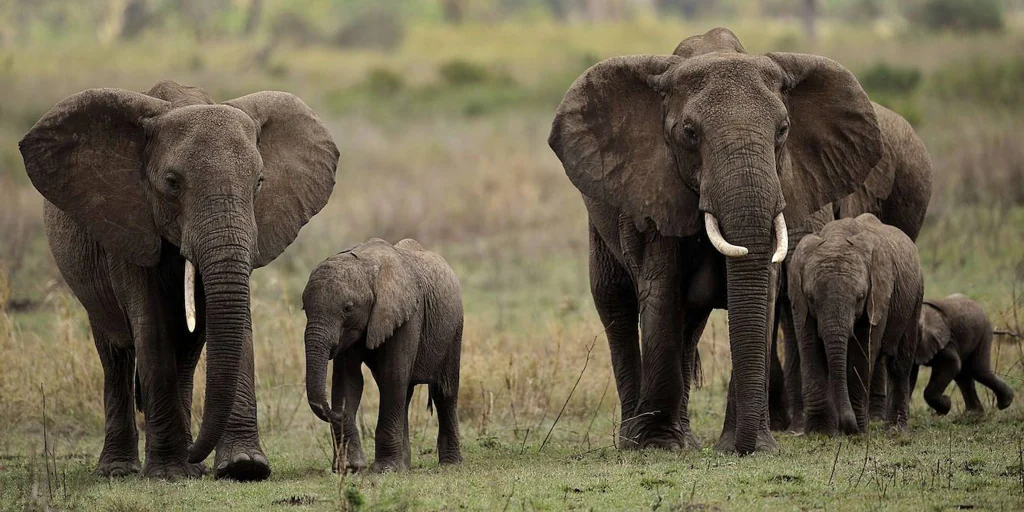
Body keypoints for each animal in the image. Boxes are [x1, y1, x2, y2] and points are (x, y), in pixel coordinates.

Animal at [19, 80, 339, 479]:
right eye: (172, 183)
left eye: (259, 183)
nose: (195, 457)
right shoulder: (130, 224)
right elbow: (152, 327)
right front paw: (169, 473)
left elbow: (235, 320)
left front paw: (244, 467)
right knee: (115, 353)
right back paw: (121, 469)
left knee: (186, 353)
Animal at [299, 237, 464, 473]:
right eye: (304, 308)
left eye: (348, 308)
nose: (338, 413)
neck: (366, 265)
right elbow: (348, 380)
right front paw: (351, 468)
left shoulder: (408, 314)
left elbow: (393, 375)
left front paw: (383, 469)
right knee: (405, 395)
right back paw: (404, 466)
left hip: (454, 329)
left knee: (444, 391)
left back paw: (450, 465)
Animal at [548, 28, 884, 452]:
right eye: (689, 134)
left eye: (783, 131)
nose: (743, 448)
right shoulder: (653, 188)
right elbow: (661, 290)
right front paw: (658, 445)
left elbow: (763, 291)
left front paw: (753, 446)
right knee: (615, 301)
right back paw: (633, 438)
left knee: (690, 322)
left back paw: (688, 439)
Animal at [786, 214, 925, 434]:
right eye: (811, 298)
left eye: (860, 297)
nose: (846, 426)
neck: (837, 238)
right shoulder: (799, 301)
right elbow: (810, 348)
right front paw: (820, 432)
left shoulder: (878, 296)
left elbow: (861, 353)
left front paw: (857, 430)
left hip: (915, 296)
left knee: (900, 363)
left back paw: (895, 430)